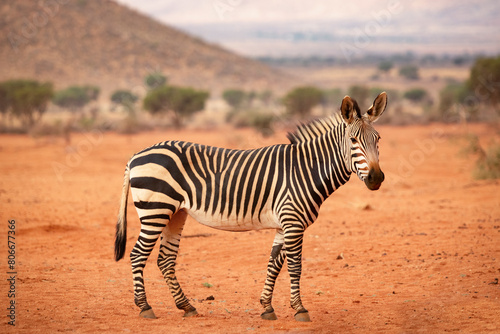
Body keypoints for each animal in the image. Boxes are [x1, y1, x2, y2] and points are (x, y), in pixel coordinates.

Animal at [115, 91, 388, 320]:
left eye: (378, 139)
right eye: (353, 140)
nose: (376, 178)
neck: (305, 170)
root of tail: (136, 155)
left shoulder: (284, 224)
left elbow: (274, 264)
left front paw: (267, 307)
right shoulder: (293, 222)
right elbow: (295, 266)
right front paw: (299, 309)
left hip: (175, 213)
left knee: (165, 259)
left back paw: (186, 306)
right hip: (155, 210)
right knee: (138, 254)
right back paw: (145, 307)